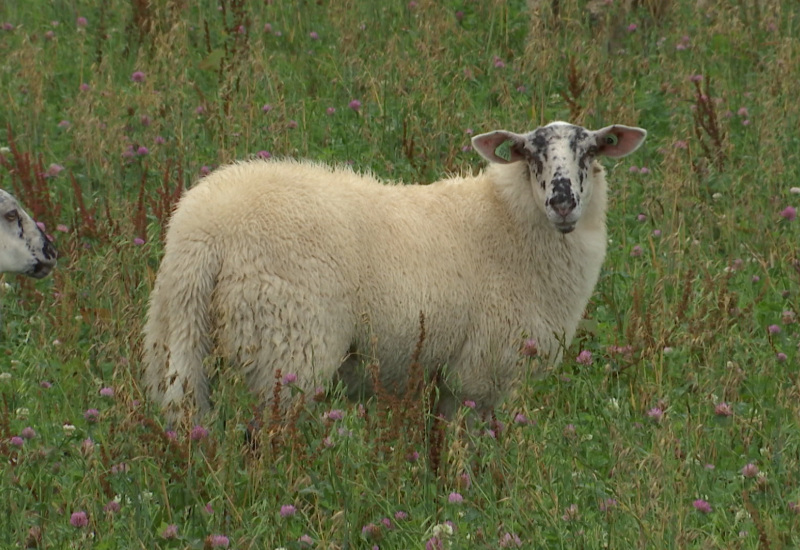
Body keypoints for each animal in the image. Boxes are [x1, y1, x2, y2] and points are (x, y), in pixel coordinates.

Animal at [141, 121, 648, 422]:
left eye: (591, 151)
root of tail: (205, 234)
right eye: (530, 153)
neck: (506, 221)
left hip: (177, 340)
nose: (563, 201)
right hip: (286, 349)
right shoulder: (480, 371)